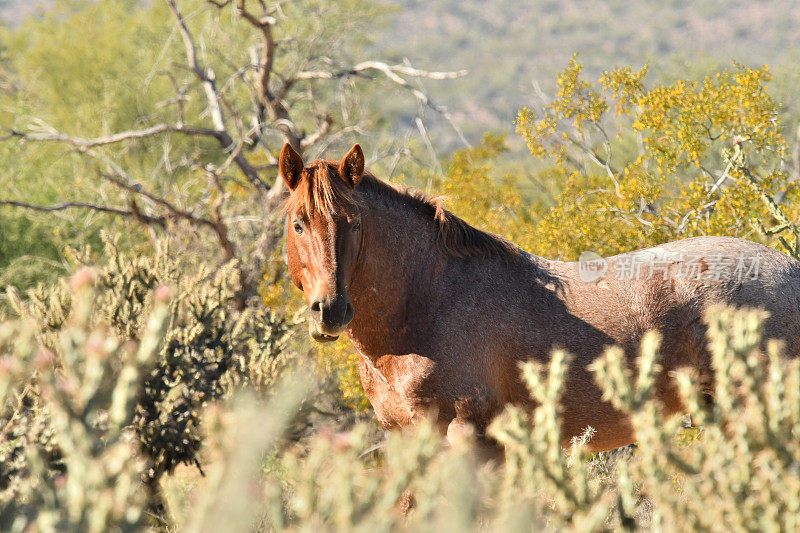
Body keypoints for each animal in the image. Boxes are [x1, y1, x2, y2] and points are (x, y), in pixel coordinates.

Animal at [278, 140, 800, 448]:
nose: (330, 310)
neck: (426, 305)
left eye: (354, 223)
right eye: (298, 223)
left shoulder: (469, 437)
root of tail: (790, 268)